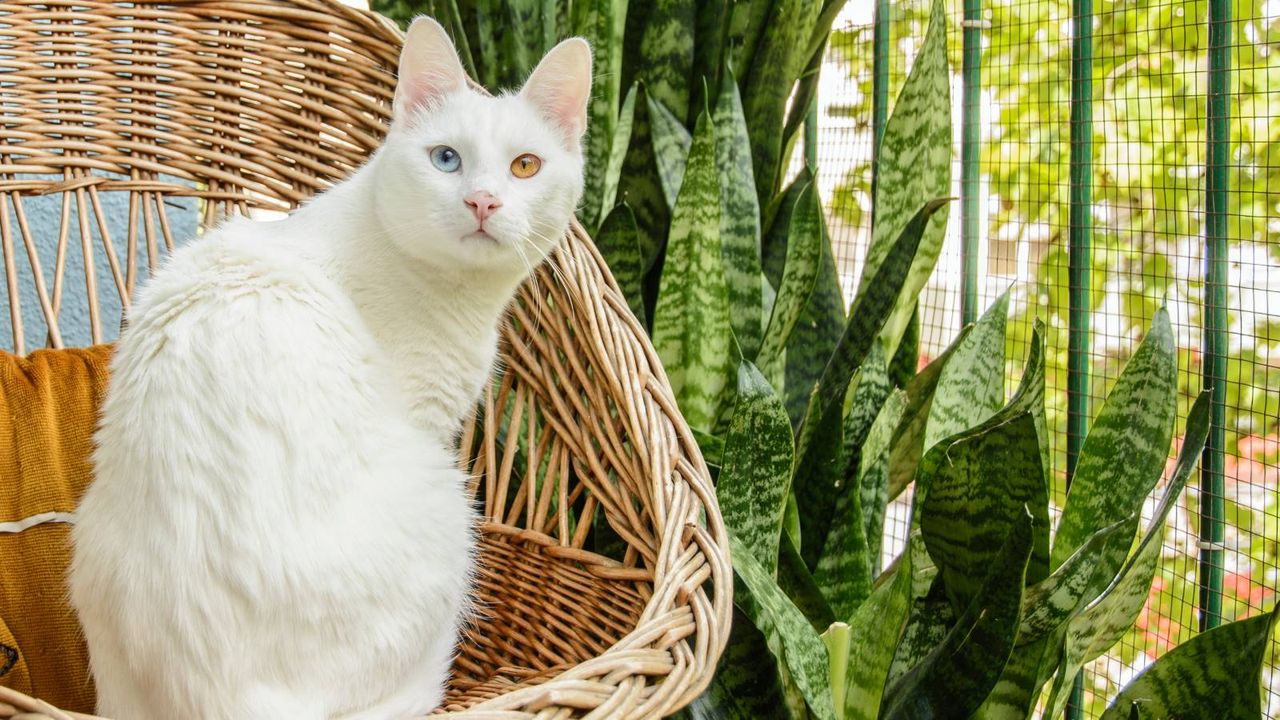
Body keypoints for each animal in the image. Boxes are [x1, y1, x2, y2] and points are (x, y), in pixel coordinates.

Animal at [68, 18, 588, 717]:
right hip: (449, 503)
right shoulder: (428, 418)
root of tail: (221, 696)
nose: (482, 201)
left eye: (525, 166)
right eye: (445, 159)